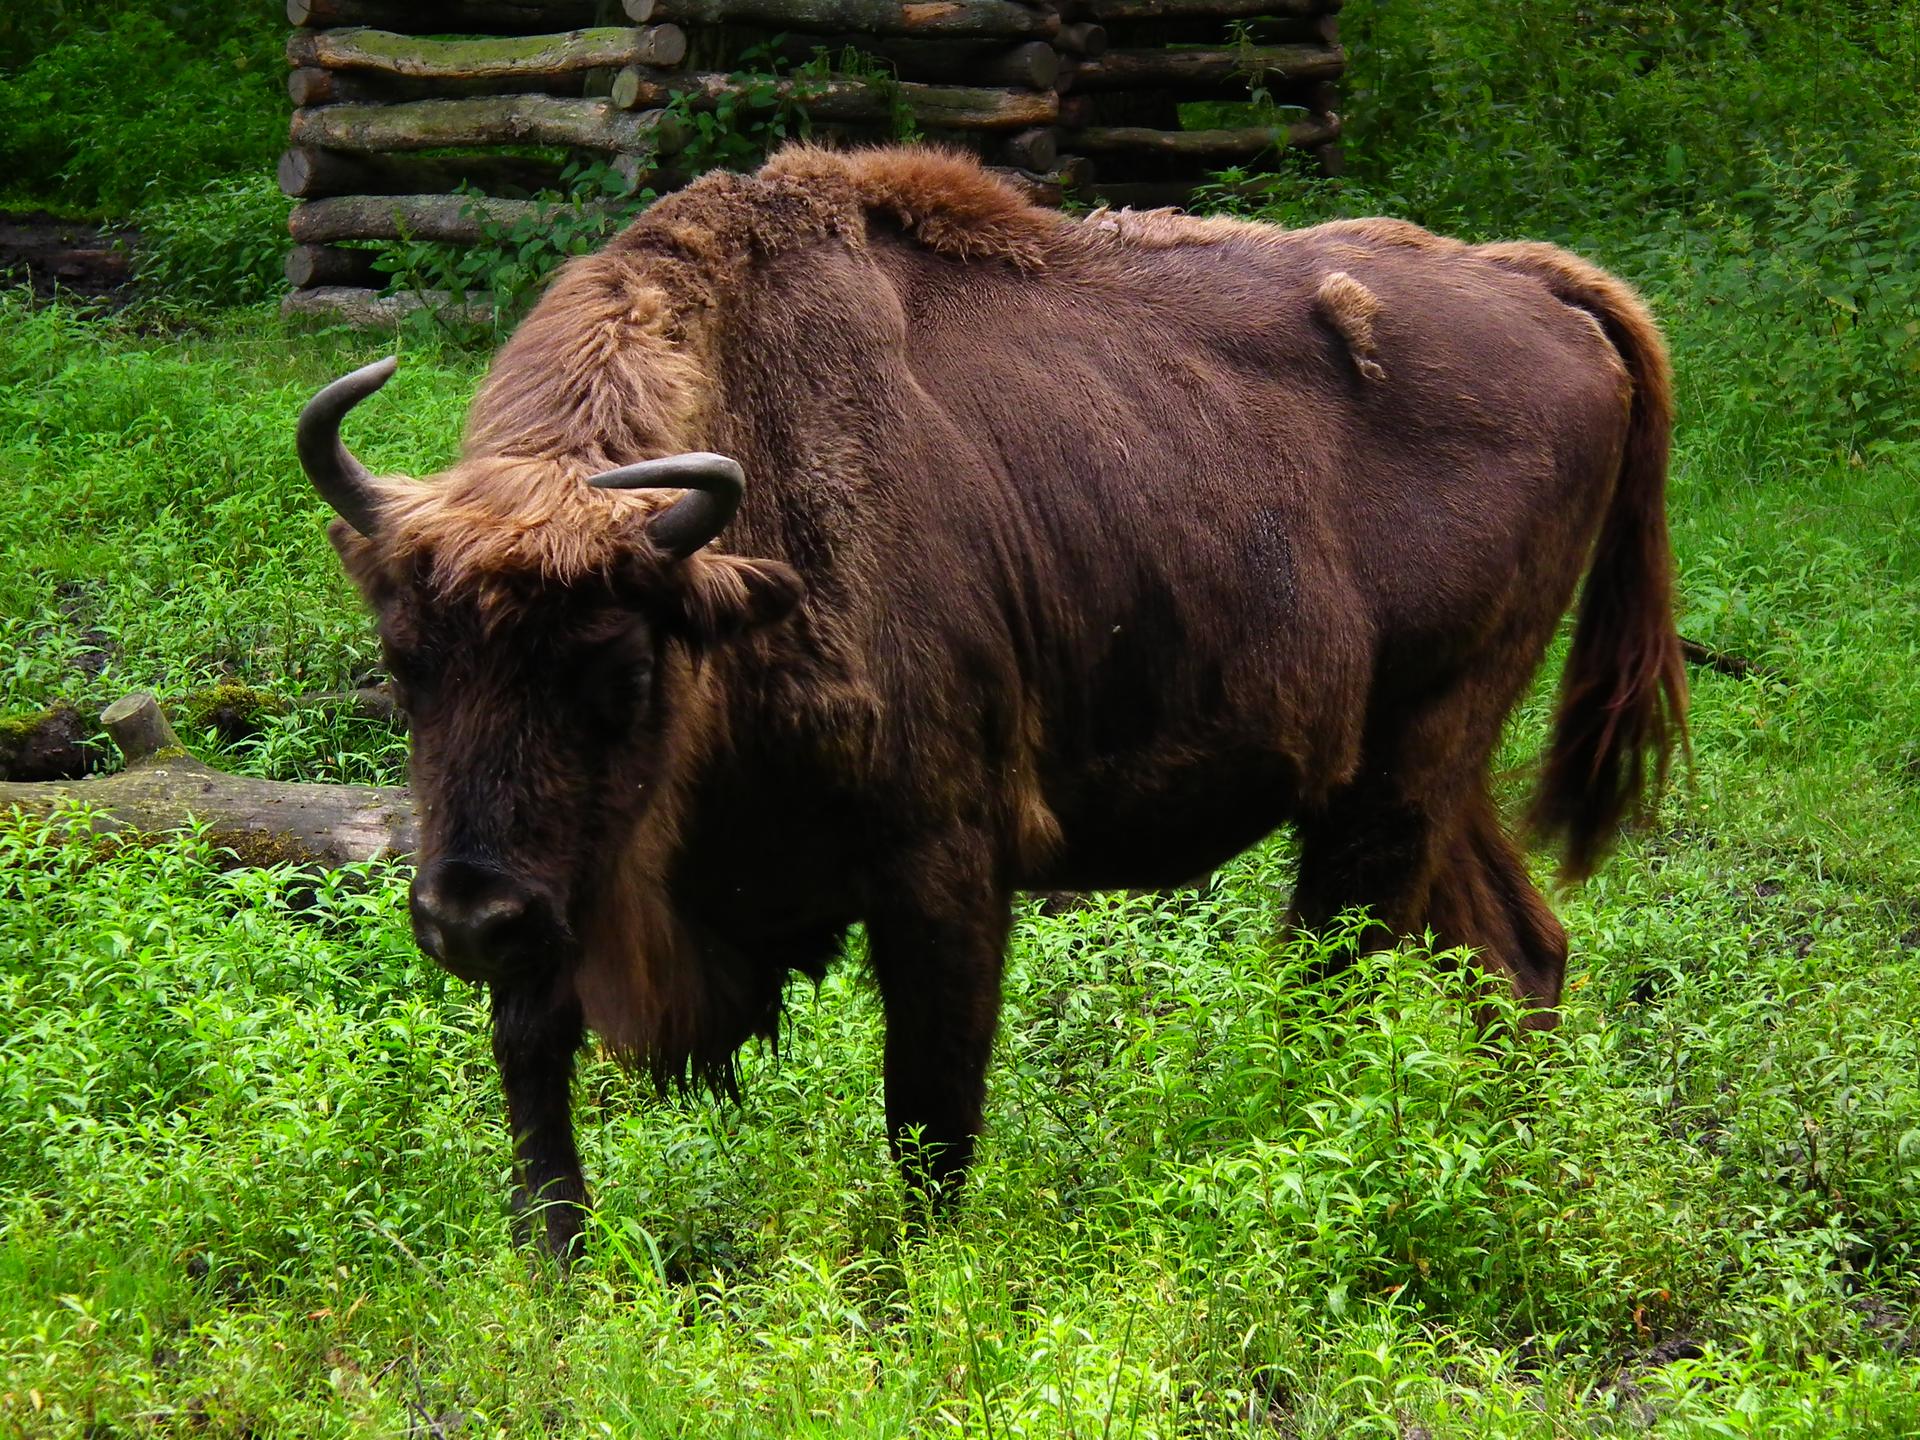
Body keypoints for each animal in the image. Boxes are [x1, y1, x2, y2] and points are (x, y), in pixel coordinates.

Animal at [295, 141, 1681, 1259]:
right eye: (404, 665)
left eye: (623, 675)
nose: (467, 918)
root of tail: (1538, 284)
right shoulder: (565, 897)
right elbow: (537, 1093)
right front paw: (557, 1273)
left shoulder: (943, 868)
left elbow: (929, 1119)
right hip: (1429, 771)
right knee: (1520, 947)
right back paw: (1501, 1154)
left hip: (1399, 769)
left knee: (1345, 974)